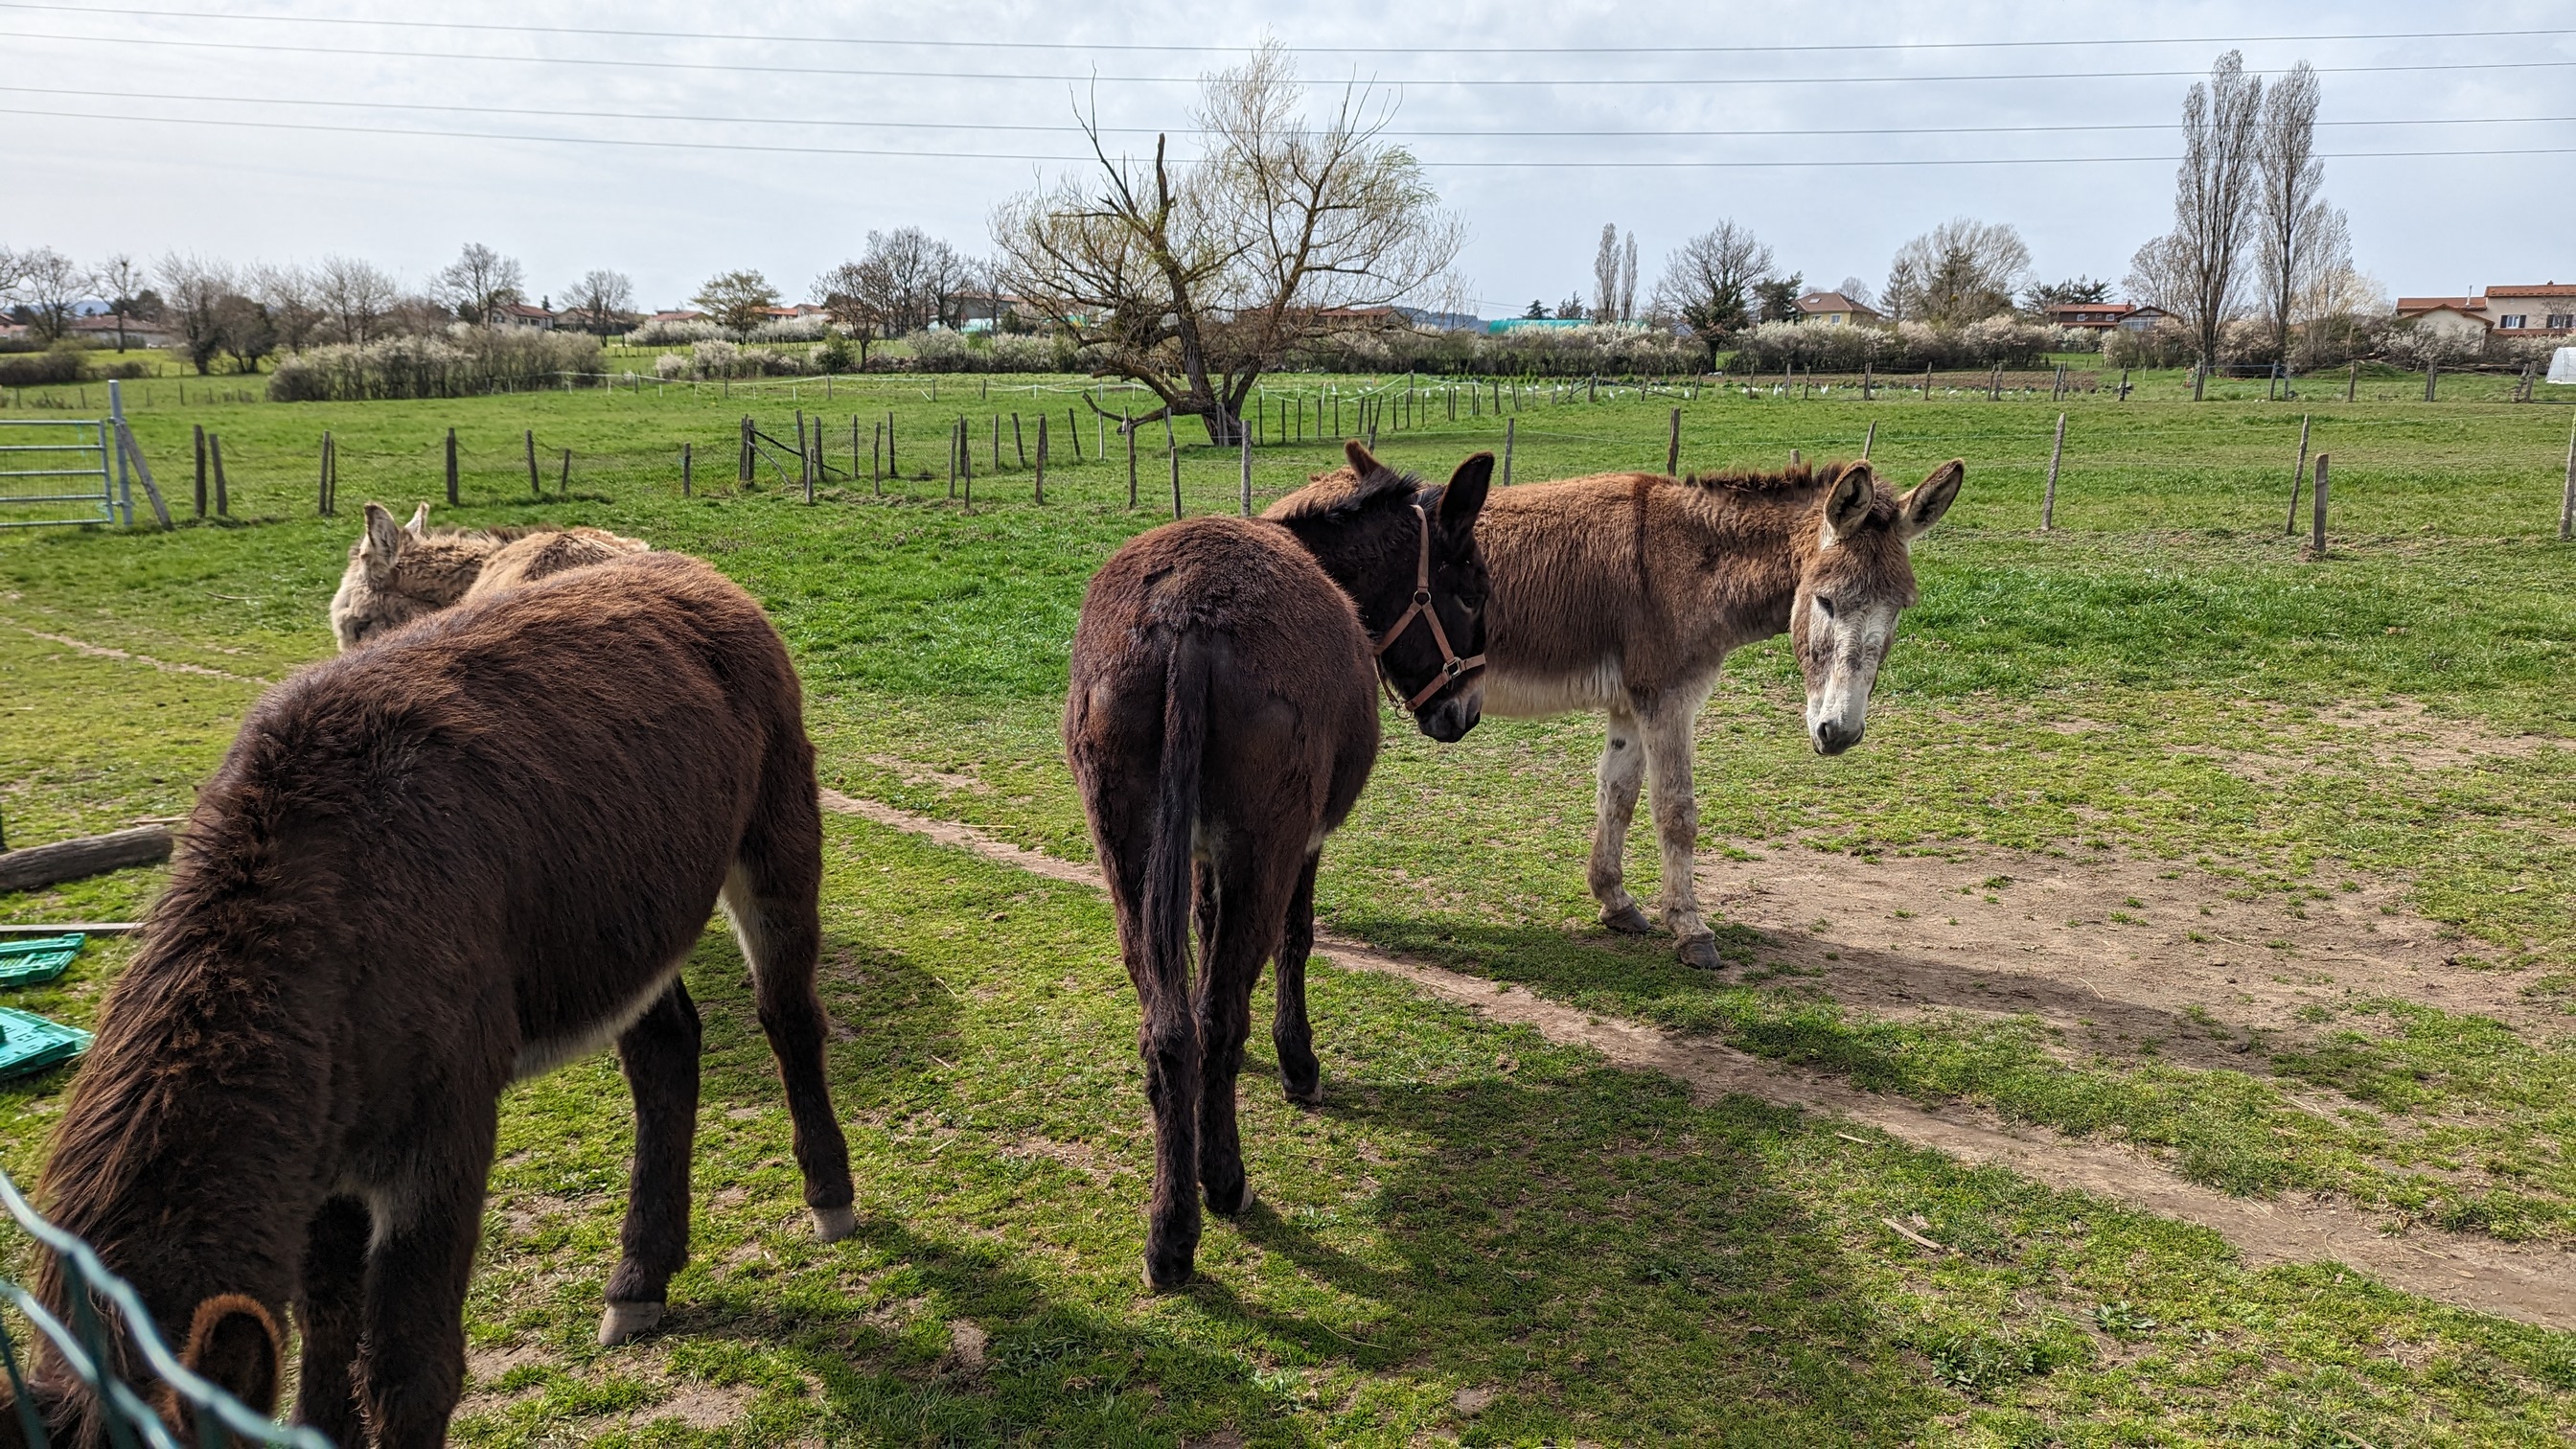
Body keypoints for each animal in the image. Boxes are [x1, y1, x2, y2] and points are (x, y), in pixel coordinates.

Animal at [3, 552, 853, 1449]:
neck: (316, 917)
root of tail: (690, 568)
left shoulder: (444, 1129)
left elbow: (411, 1368)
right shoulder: (322, 1147)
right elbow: (327, 1333)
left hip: (776, 836)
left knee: (789, 1017)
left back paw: (830, 1199)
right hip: (629, 929)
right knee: (666, 1055)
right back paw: (639, 1279)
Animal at [1066, 445, 1492, 1290]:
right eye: (1472, 590)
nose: (1463, 715)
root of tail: (1187, 619)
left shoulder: (1202, 850)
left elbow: (1202, 935)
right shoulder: (1306, 838)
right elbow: (1297, 942)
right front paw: (1297, 1063)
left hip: (1125, 843)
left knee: (1169, 1025)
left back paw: (1167, 1233)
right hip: (1267, 841)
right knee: (1217, 1014)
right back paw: (1221, 1188)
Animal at [1472, 458, 1964, 968]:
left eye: (1899, 609)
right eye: (1825, 600)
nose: (1841, 733)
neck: (1690, 564)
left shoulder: (1631, 705)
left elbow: (1618, 795)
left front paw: (1615, 901)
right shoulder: (1668, 698)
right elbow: (1676, 812)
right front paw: (1690, 929)